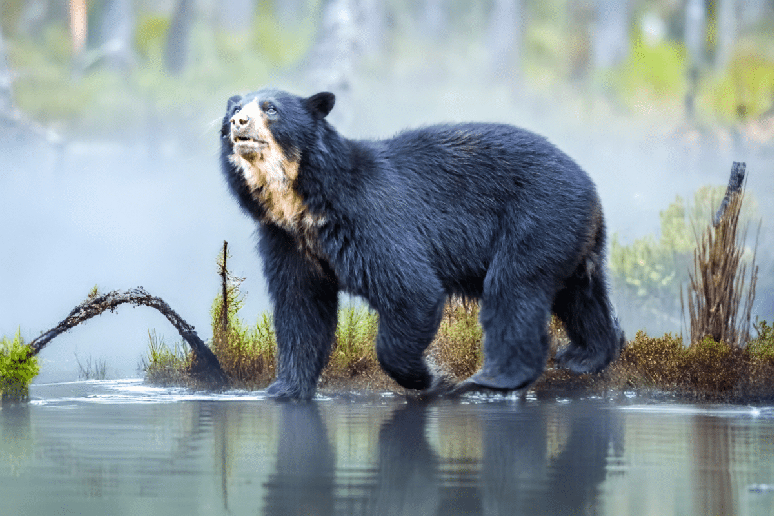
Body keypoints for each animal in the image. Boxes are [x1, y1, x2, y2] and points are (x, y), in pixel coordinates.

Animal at [220, 88, 625, 399]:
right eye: (235, 109)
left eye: (270, 108)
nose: (238, 122)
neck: (301, 200)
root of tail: (588, 183)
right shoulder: (287, 239)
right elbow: (300, 307)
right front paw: (283, 389)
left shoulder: (368, 219)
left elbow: (410, 290)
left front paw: (430, 376)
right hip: (567, 235)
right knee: (580, 294)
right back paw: (586, 355)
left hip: (537, 216)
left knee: (514, 289)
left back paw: (492, 379)